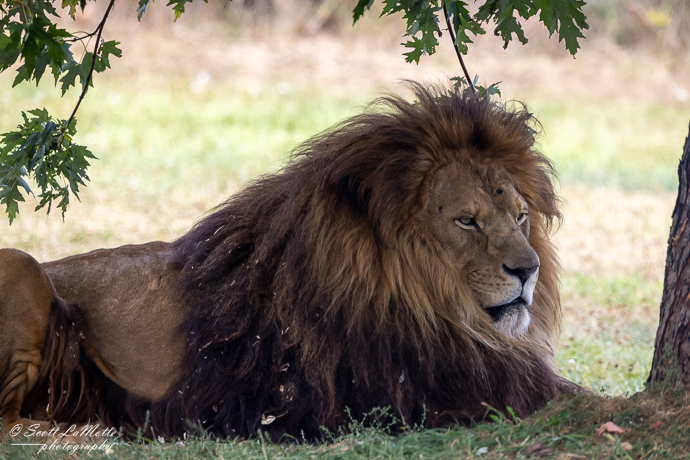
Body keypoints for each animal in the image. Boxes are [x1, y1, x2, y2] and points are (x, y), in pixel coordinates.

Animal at [0, 82, 576, 441]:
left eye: (521, 216)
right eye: (466, 221)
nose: (528, 270)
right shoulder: (421, 385)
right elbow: (563, 395)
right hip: (22, 265)